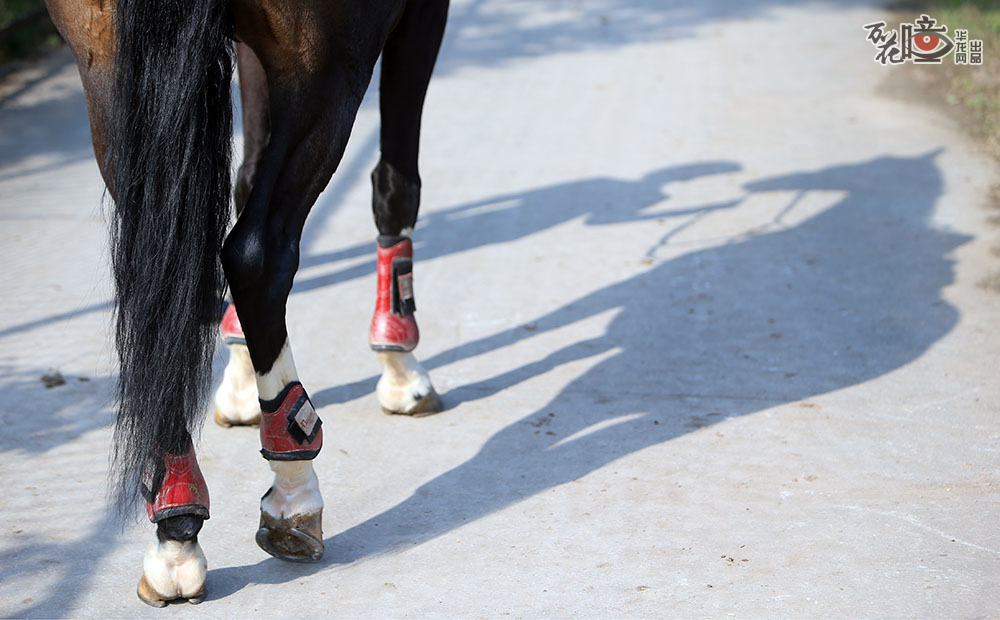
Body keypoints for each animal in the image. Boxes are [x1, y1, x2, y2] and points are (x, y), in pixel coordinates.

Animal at [39, 0, 446, 604]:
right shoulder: (418, 15)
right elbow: (396, 183)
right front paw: (401, 364)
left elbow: (243, 178)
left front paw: (235, 381)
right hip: (327, 69)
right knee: (258, 254)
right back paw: (294, 491)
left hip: (105, 63)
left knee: (159, 276)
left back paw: (176, 525)